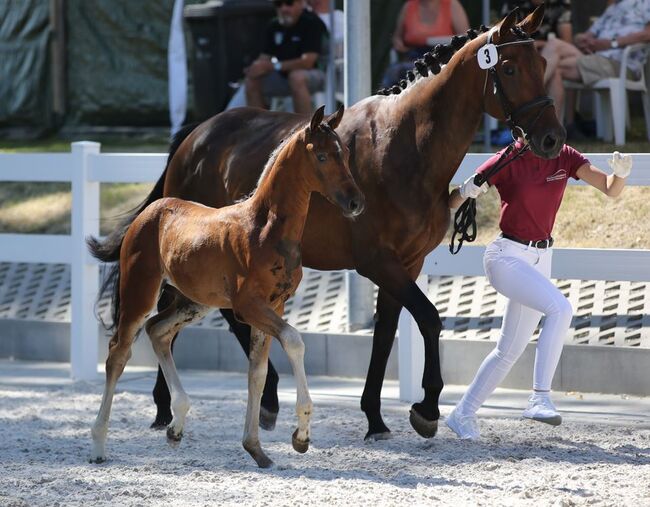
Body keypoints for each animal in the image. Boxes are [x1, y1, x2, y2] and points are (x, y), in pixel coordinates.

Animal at [88, 106, 365, 467]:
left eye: (343, 153)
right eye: (321, 156)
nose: (356, 202)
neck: (266, 229)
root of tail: (150, 211)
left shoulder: (274, 305)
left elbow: (257, 373)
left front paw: (256, 448)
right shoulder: (249, 307)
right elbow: (294, 341)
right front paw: (300, 436)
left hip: (194, 301)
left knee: (158, 331)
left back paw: (176, 424)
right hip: (141, 290)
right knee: (118, 352)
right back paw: (99, 445)